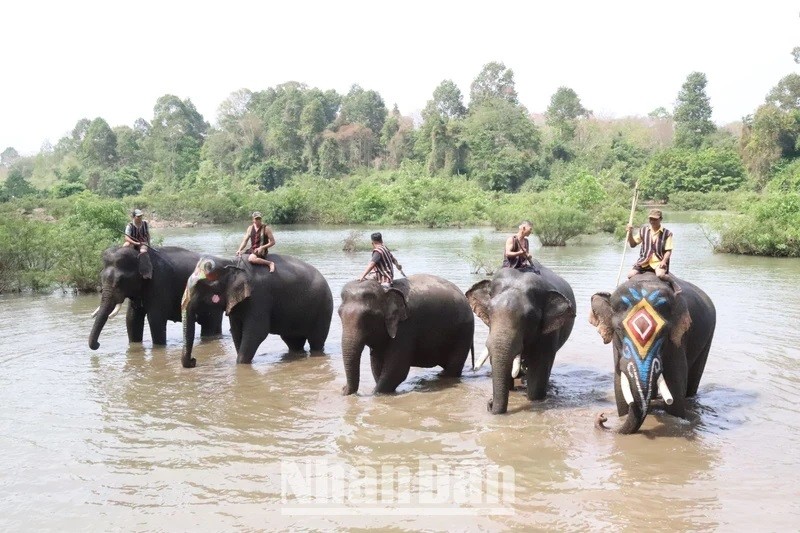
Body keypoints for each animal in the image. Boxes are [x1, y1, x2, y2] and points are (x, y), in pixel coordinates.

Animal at [89, 244, 223, 350]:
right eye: (101, 277)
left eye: (121, 280)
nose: (98, 345)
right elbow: (132, 318)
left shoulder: (160, 282)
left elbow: (155, 319)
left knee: (209, 324)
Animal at [180, 252, 332, 368]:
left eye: (201, 286)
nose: (194, 361)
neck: (230, 261)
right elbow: (236, 331)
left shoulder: (259, 296)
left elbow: (257, 332)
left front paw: (241, 364)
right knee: (294, 342)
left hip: (323, 309)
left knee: (316, 341)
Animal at [340, 274, 476, 394]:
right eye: (339, 314)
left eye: (368, 317)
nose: (342, 389)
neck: (385, 291)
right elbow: (376, 366)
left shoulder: (406, 328)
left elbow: (396, 371)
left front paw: (375, 394)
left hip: (464, 332)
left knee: (452, 368)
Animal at [468, 264, 576, 412]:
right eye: (489, 311)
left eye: (530, 317)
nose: (489, 404)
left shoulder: (548, 334)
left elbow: (538, 370)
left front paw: (534, 398)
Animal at [588, 270, 720, 432]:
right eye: (618, 330)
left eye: (664, 332)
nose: (602, 417)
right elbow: (619, 386)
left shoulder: (677, 341)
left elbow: (675, 386)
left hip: (709, 335)